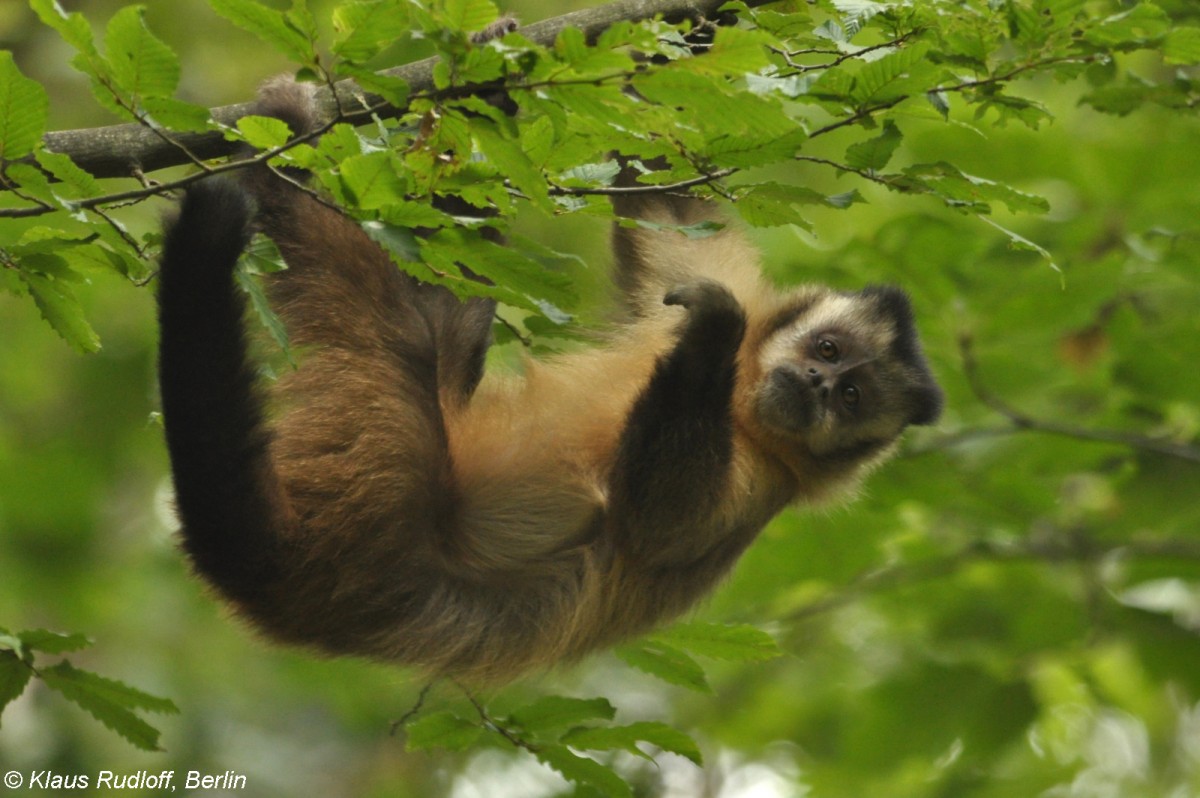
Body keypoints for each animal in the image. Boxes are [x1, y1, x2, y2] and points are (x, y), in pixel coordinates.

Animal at [154, 78, 940, 681]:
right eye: (830, 350)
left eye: (850, 398)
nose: (812, 384)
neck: (742, 401)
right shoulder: (732, 289)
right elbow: (666, 202)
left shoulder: (768, 485)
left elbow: (655, 521)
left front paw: (712, 336)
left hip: (366, 507)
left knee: (393, 343)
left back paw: (283, 156)